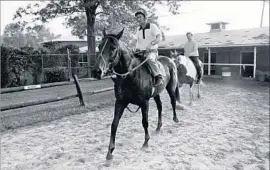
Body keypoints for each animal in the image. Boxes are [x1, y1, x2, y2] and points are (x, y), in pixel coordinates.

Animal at [92, 28, 180, 161]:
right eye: (99, 46)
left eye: (113, 47)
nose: (97, 71)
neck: (131, 75)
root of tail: (170, 60)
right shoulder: (120, 103)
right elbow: (114, 124)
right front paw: (110, 151)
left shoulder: (144, 103)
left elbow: (145, 122)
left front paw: (146, 142)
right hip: (156, 94)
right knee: (160, 106)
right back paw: (158, 127)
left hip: (171, 88)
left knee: (173, 101)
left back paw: (175, 119)